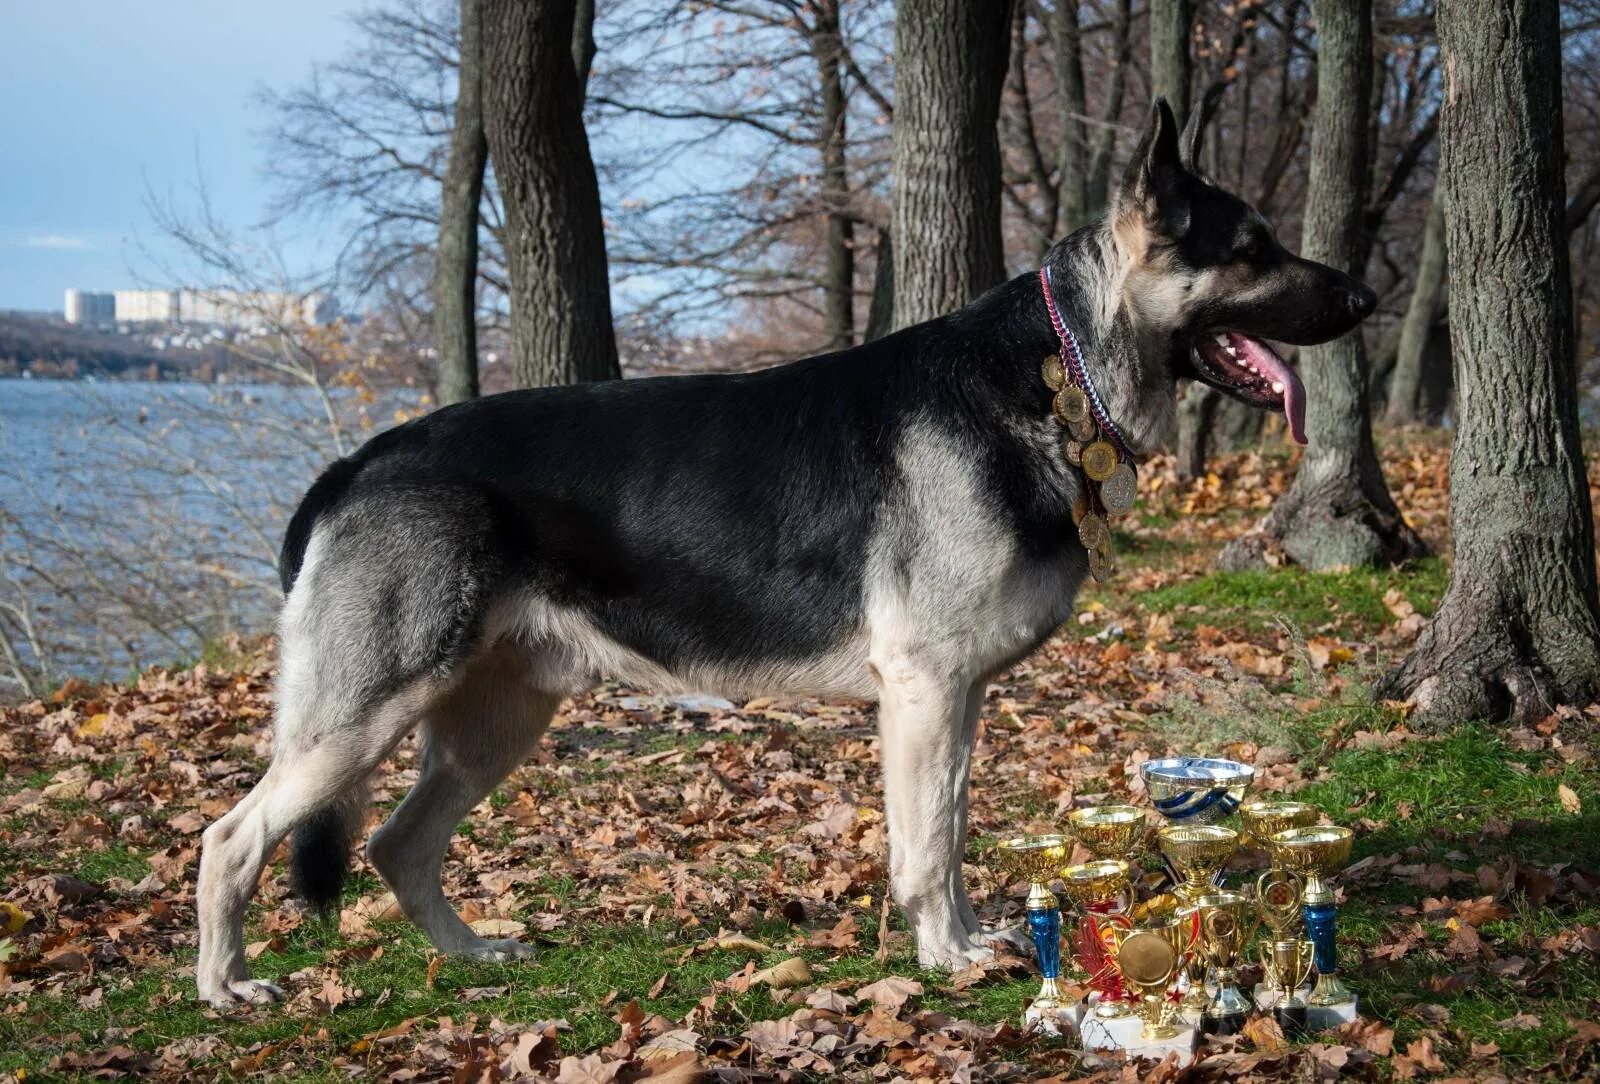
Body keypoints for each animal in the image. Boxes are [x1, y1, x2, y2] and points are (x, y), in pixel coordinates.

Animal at [196, 101, 1376, 1010]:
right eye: (1252, 248)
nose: (1368, 297)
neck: (1059, 365)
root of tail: (356, 461)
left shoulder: (956, 701)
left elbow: (950, 827)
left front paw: (967, 938)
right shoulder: (924, 693)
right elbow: (925, 845)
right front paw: (945, 957)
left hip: (496, 721)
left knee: (398, 845)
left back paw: (473, 953)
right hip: (362, 719)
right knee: (230, 840)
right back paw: (227, 986)